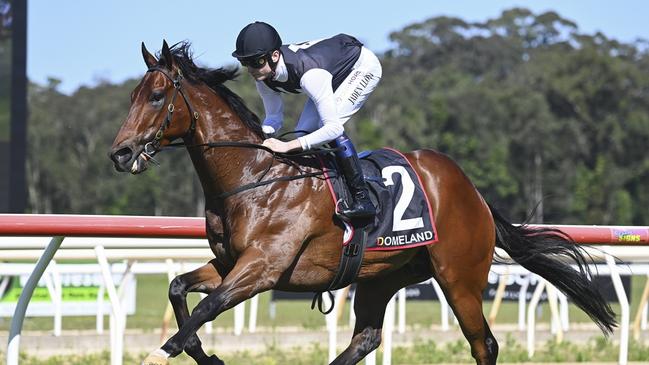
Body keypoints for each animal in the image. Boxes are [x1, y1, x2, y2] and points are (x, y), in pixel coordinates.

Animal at [109, 40, 616, 364]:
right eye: (132, 95)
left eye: (157, 95)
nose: (121, 153)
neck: (254, 179)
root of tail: (473, 192)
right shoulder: (232, 262)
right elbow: (179, 289)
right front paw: (200, 352)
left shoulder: (264, 267)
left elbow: (205, 308)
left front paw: (167, 350)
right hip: (382, 276)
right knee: (366, 339)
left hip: (460, 278)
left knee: (484, 345)